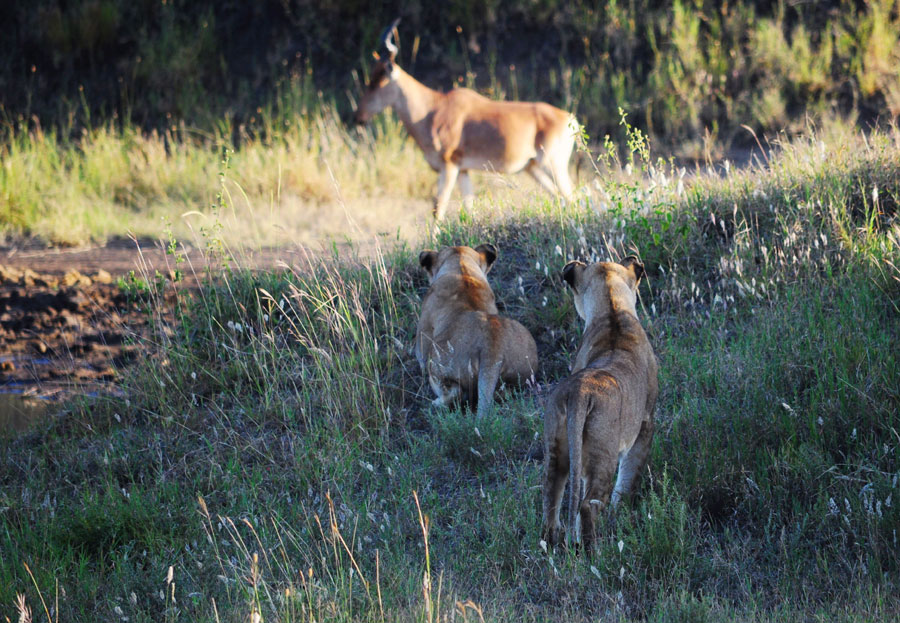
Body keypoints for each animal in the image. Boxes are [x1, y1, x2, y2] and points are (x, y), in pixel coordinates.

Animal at [415, 244, 538, 418]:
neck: (462, 269)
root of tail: (493, 349)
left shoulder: (424, 331)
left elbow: (420, 355)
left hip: (438, 365)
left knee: (455, 393)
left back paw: (435, 404)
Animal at [541, 256, 658, 550]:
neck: (613, 311)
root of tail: (579, 392)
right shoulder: (646, 423)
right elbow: (628, 477)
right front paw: (621, 513)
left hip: (557, 446)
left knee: (551, 497)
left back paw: (552, 545)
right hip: (604, 452)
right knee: (588, 505)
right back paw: (596, 552)